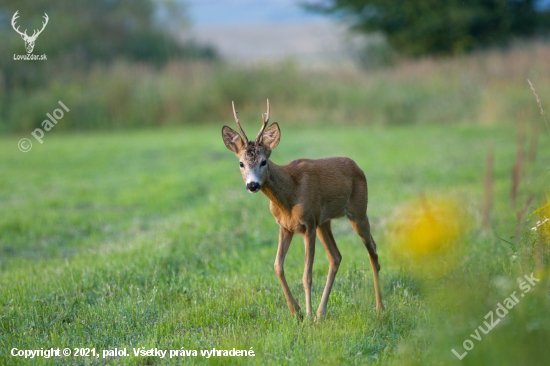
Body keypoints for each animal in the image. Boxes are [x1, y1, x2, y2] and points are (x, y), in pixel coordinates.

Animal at [222, 100, 386, 320]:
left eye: (264, 161)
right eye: (241, 163)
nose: (252, 185)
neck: (289, 195)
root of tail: (358, 167)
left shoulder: (308, 223)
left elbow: (307, 274)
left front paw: (306, 315)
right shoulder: (286, 226)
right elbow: (277, 266)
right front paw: (297, 312)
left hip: (358, 211)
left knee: (373, 251)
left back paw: (379, 307)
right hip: (324, 222)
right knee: (336, 257)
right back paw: (320, 313)